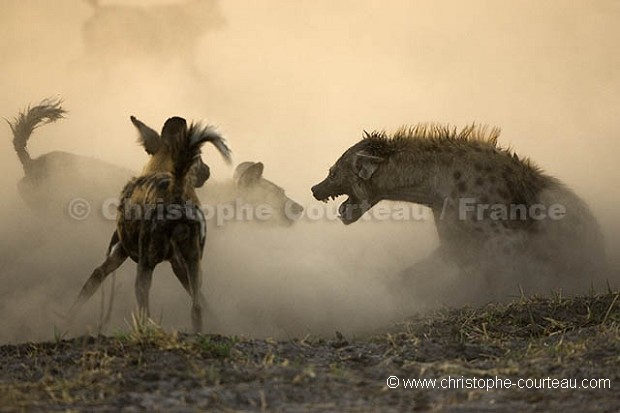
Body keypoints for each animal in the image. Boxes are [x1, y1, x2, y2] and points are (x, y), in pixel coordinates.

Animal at [72, 116, 231, 332]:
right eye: (200, 157)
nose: (207, 171)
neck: (161, 166)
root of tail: (175, 190)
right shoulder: (178, 263)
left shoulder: (120, 251)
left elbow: (92, 282)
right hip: (194, 263)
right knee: (197, 307)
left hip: (145, 267)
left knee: (144, 309)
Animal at [312, 124, 608, 294]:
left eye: (333, 172)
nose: (315, 189)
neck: (436, 186)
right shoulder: (453, 238)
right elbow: (411, 273)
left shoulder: (505, 236)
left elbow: (502, 269)